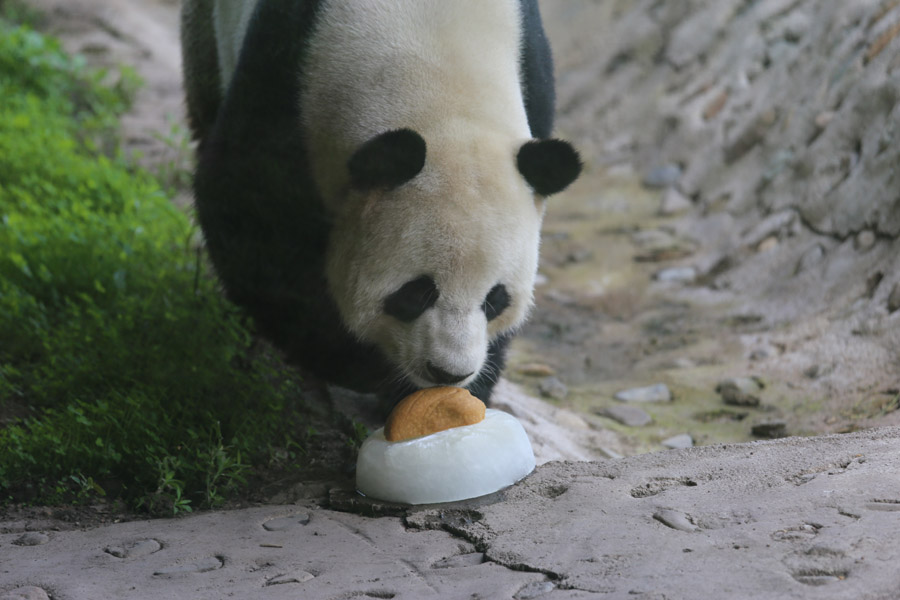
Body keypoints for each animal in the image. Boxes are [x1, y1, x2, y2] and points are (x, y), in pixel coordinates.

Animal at [180, 0, 582, 408]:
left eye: (496, 299)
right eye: (415, 292)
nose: (448, 372)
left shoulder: (530, 68)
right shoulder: (286, 71)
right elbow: (254, 222)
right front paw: (366, 367)